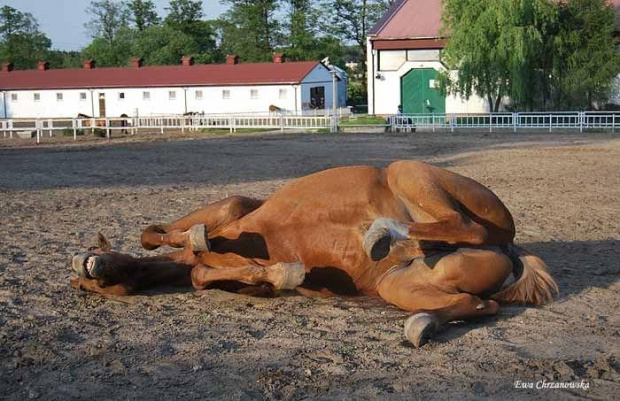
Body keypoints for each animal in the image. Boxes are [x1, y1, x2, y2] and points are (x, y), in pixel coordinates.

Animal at [71, 161, 556, 346]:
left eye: (87, 280)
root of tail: (508, 245)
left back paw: (384, 233)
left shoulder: (232, 210)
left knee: (466, 226)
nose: (85, 266)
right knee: (480, 304)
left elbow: (162, 236)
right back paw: (423, 323)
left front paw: (196, 239)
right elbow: (202, 273)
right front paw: (282, 274)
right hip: (399, 285)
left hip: (411, 172)